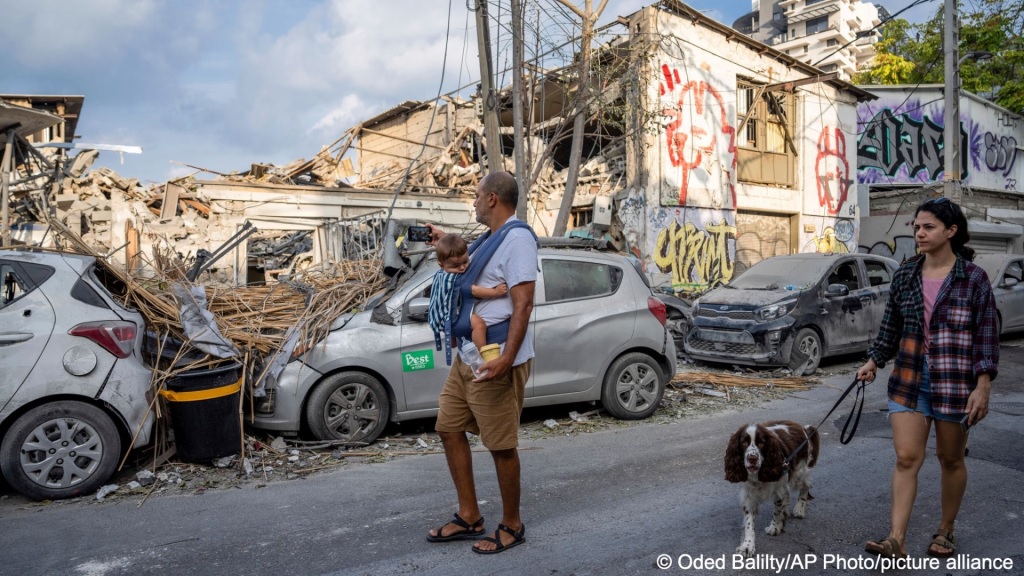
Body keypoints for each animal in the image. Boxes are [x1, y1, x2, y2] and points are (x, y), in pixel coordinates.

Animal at [724, 420, 819, 553]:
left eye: (761, 443)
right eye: (744, 442)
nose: (752, 458)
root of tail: (803, 428)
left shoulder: (779, 488)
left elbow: (777, 511)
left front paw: (774, 527)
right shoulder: (749, 495)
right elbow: (749, 523)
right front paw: (747, 546)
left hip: (800, 472)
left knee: (805, 486)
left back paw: (799, 509)